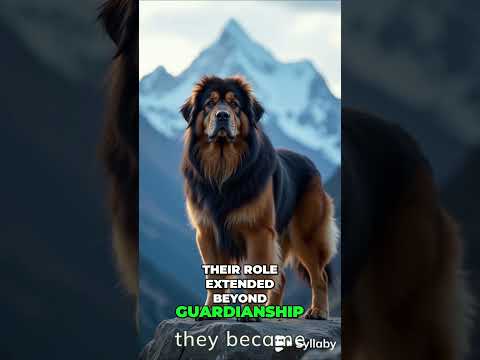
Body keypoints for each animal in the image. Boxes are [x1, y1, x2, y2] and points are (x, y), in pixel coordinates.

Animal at [179, 75, 338, 318]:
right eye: (210, 103)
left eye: (235, 104)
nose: (222, 115)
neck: (223, 170)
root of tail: (311, 165)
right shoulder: (207, 232)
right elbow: (215, 279)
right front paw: (210, 311)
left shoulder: (258, 231)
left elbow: (256, 276)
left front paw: (250, 313)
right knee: (282, 278)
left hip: (306, 234)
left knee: (320, 276)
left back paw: (318, 311)